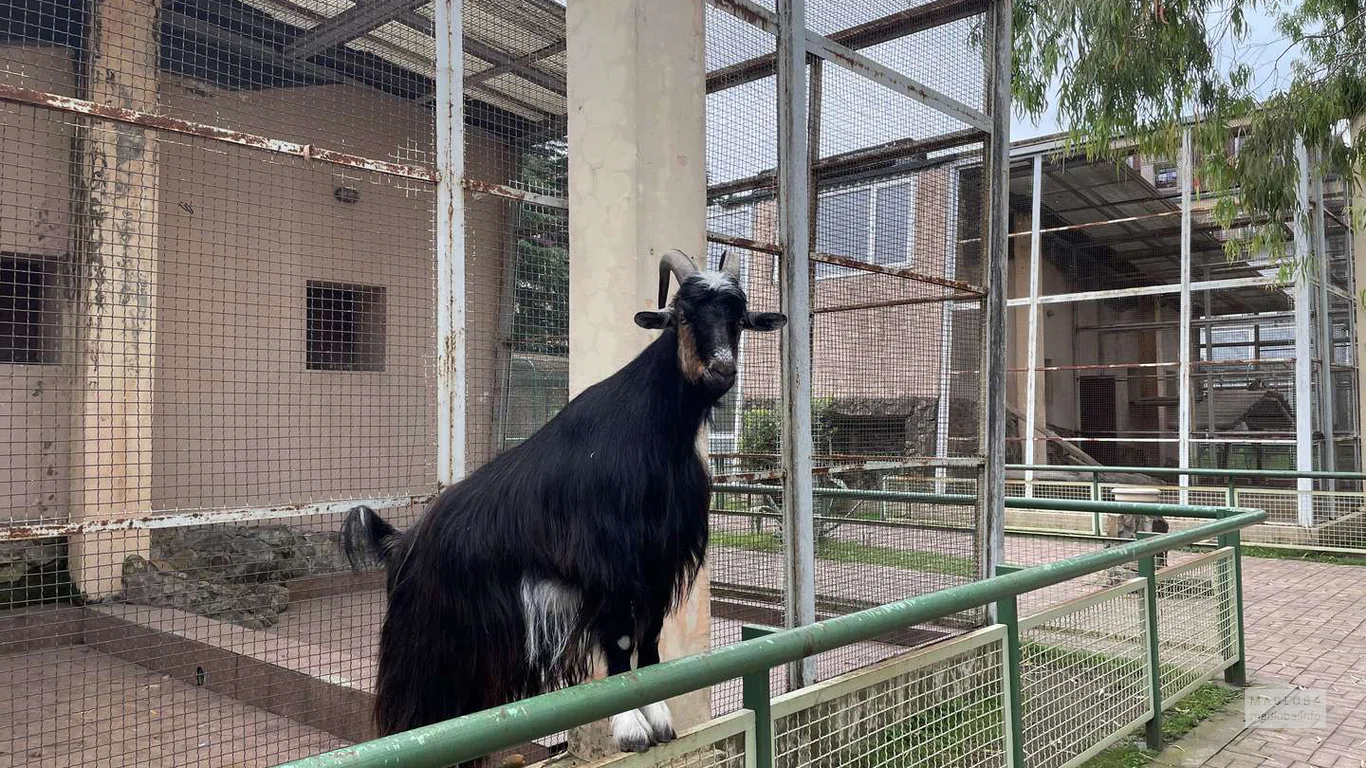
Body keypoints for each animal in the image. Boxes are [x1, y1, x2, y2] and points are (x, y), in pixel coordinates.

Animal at [341, 249, 786, 752]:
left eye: (739, 319)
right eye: (684, 314)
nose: (722, 370)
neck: (654, 433)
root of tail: (402, 541)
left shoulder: (657, 561)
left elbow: (650, 637)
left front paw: (659, 717)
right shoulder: (607, 562)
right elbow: (621, 641)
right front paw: (630, 726)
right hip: (423, 646)